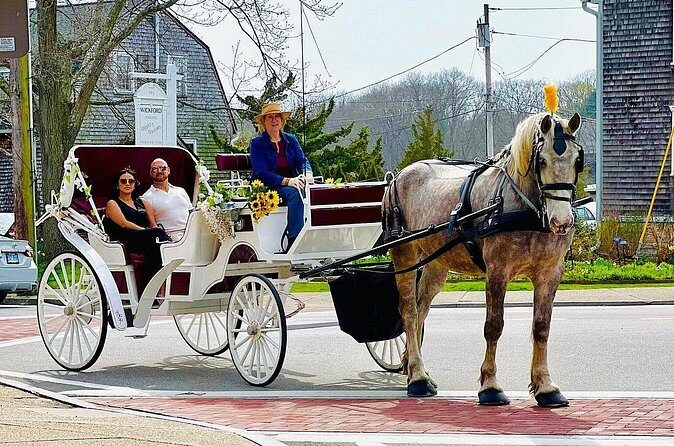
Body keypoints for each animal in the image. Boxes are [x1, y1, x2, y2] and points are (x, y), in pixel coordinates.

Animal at [384, 112, 582, 407]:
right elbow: (494, 326)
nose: (562, 221)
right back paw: (418, 377)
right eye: (542, 160)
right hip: (404, 255)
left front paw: (545, 387)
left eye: (577, 160)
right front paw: (490, 385)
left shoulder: (550, 273)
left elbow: (541, 327)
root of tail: (397, 176)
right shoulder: (497, 272)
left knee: (421, 310)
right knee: (409, 311)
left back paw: (413, 367)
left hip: (435, 265)